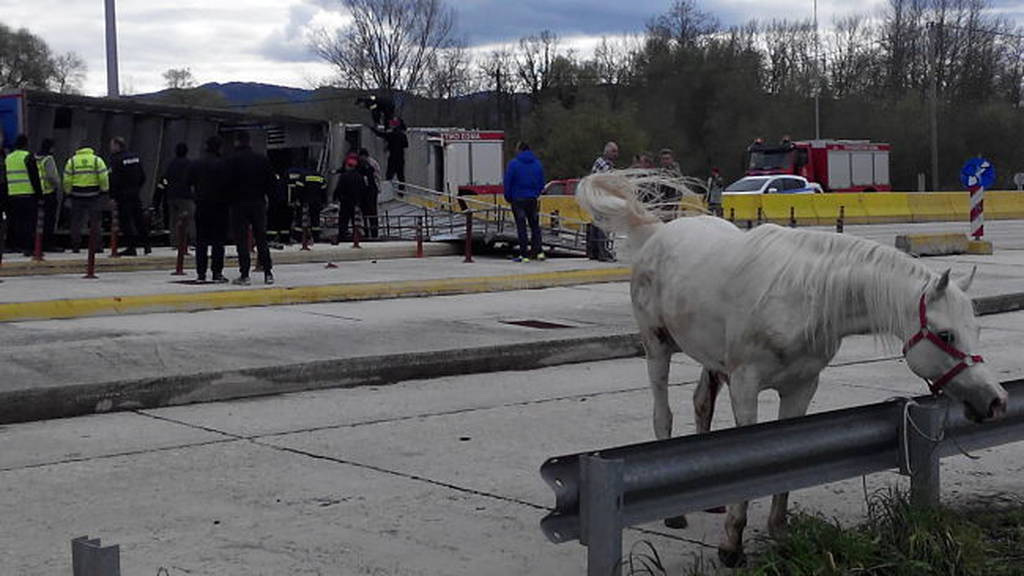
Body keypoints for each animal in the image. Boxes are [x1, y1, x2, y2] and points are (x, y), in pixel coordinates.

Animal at [577, 171, 1007, 565]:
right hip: (657, 347)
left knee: (701, 403)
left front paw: (778, 530)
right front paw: (731, 543)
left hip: (711, 360)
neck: (804, 298)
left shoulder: (801, 387)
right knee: (662, 413)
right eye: (947, 334)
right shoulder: (745, 385)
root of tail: (657, 234)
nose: (996, 401)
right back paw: (676, 515)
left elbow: (787, 458)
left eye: (976, 329)